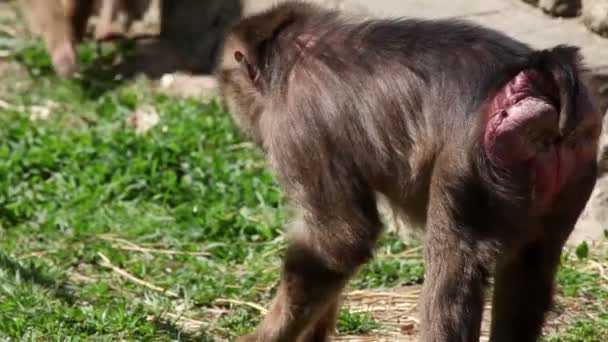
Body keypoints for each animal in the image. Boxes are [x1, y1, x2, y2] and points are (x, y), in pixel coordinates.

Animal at [215, 2, 604, 342]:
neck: (296, 49)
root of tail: (536, 75)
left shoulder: (296, 125)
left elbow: (340, 239)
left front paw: (263, 337)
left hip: (475, 160)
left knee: (453, 263)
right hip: (575, 161)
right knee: (532, 263)